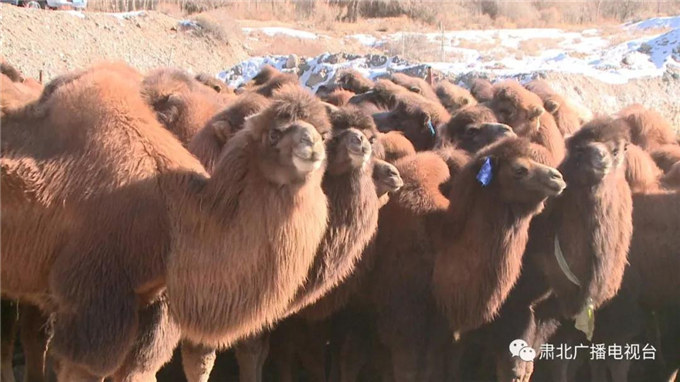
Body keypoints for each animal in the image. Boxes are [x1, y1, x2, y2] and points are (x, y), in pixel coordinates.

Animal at [0, 66, 330, 380]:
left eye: (324, 133)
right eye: (274, 133)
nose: (312, 144)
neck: (171, 216)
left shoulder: (148, 304)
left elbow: (137, 370)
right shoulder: (91, 298)